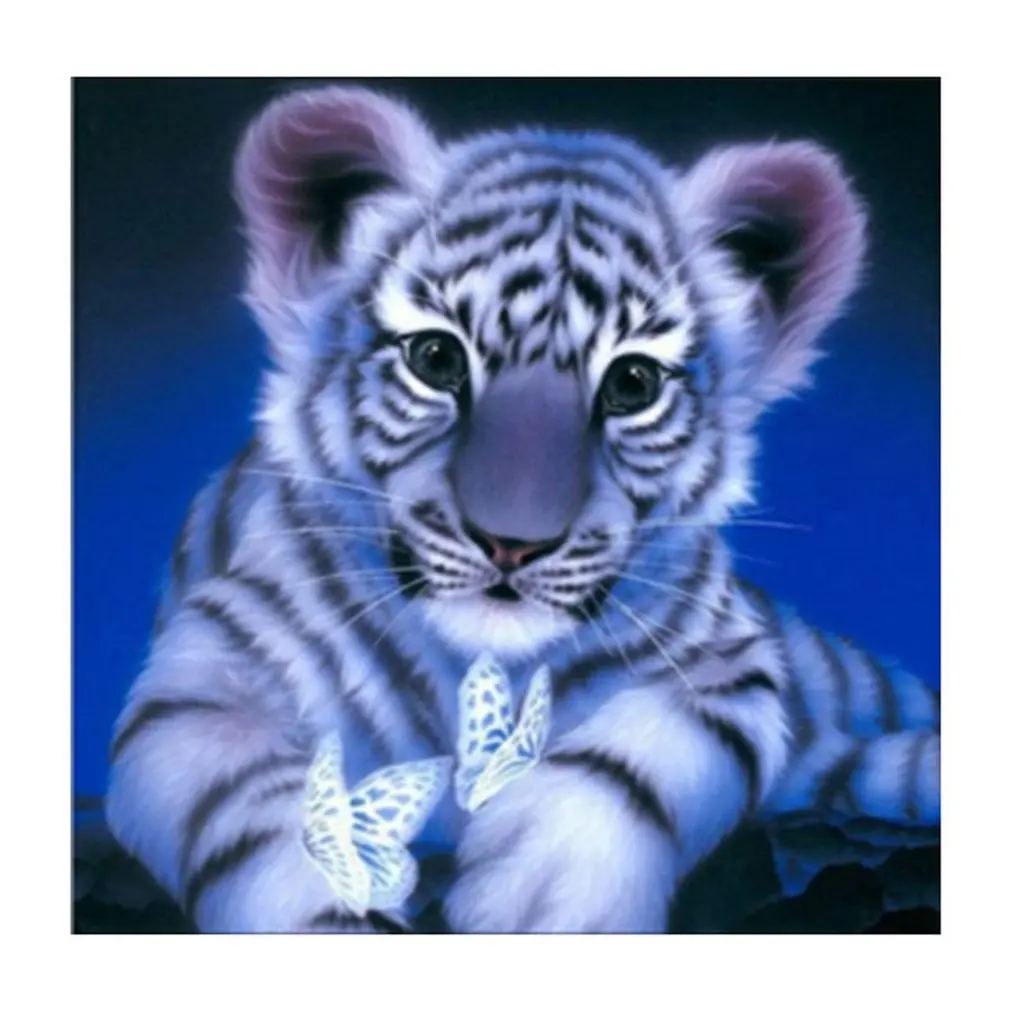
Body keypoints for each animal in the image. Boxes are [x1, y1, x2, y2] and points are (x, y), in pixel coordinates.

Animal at [104, 84, 940, 934]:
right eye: (435, 358)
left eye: (632, 383)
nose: (512, 543)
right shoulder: (204, 678)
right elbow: (262, 812)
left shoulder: (729, 662)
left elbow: (638, 755)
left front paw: (549, 893)